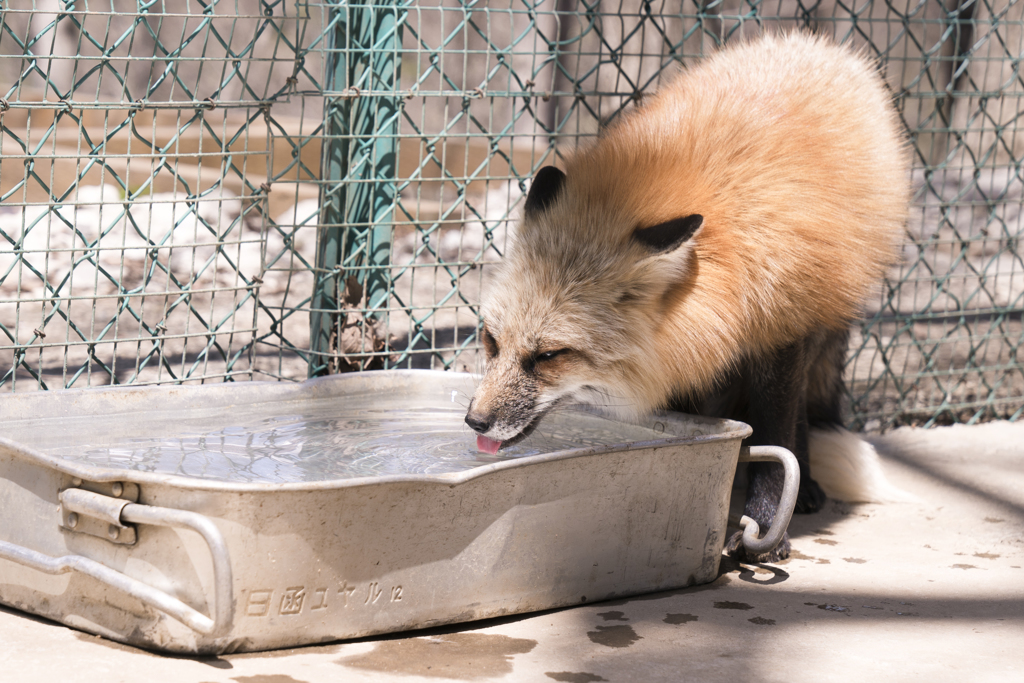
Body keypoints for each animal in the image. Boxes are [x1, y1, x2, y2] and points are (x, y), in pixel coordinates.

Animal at [464, 31, 913, 565]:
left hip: (822, 315)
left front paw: (768, 525)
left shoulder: (779, 326)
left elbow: (776, 436)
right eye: (491, 341)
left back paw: (803, 487)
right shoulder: (688, 349)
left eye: (550, 355)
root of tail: (814, 43)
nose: (474, 421)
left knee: (804, 411)